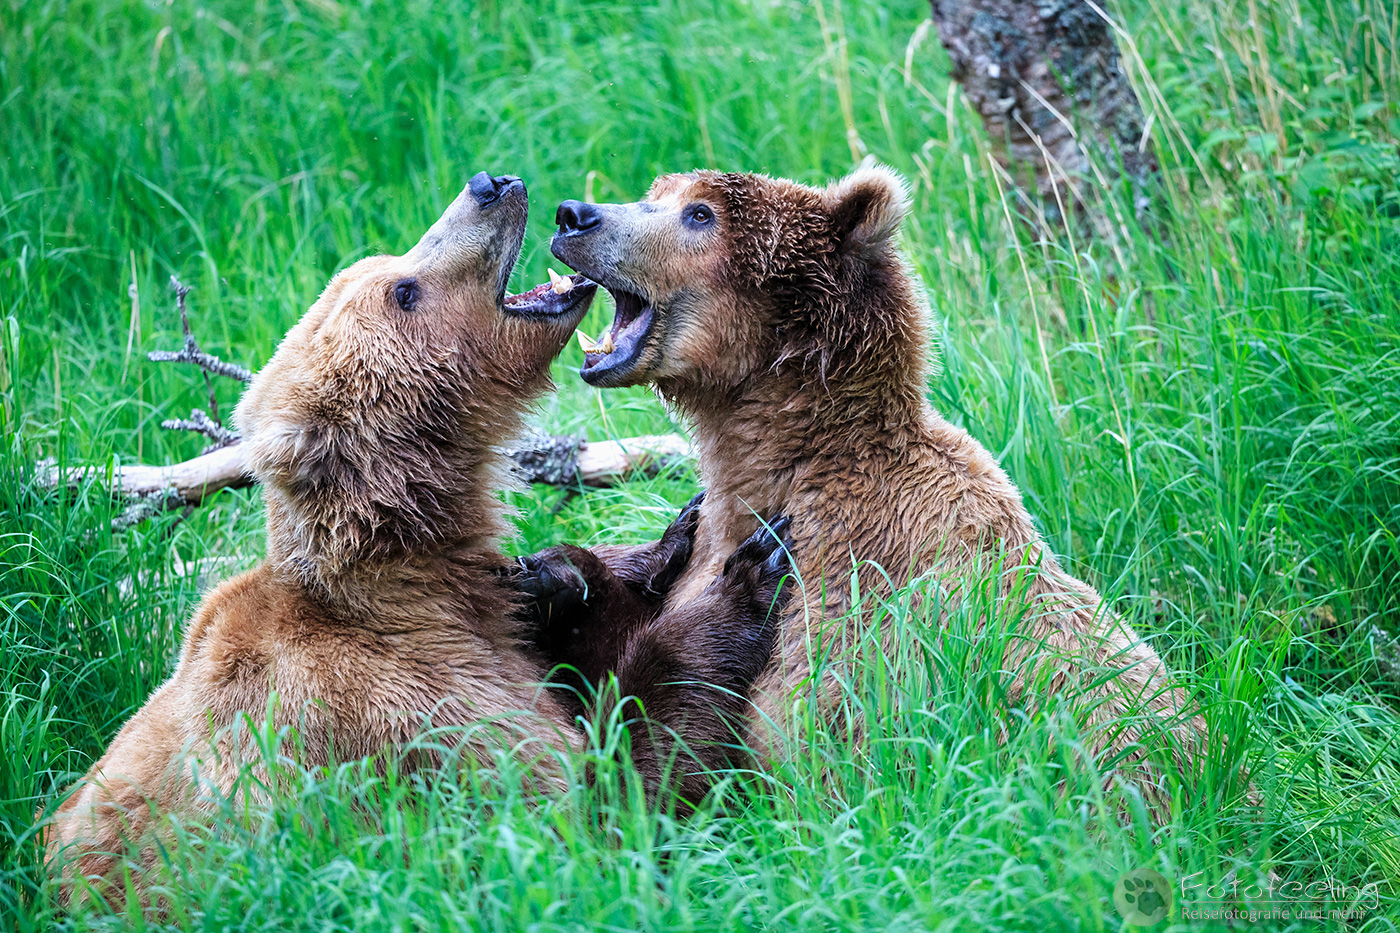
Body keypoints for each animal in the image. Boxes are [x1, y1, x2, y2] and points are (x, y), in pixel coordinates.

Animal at [44, 172, 791, 904]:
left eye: (384, 262)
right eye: (403, 290)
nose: (489, 184)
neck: (415, 574)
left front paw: (628, 552)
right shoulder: (409, 713)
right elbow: (593, 811)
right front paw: (746, 573)